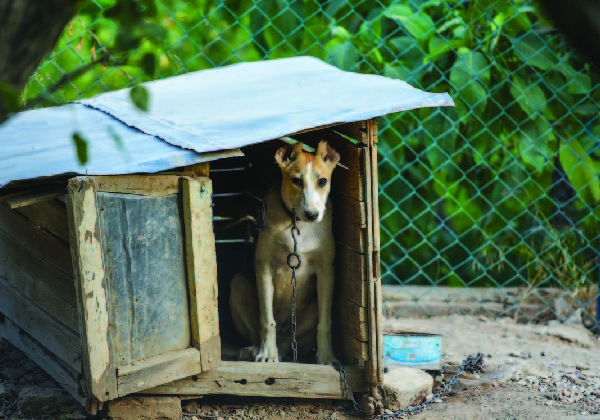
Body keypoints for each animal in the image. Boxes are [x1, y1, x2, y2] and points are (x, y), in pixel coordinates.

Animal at [230, 141, 340, 364]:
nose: (312, 215)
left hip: (310, 309)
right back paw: (255, 349)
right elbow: (267, 320)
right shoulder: (264, 268)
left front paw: (326, 356)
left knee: (289, 343)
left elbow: (325, 323)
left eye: (323, 181)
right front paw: (266, 353)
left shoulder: (326, 271)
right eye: (296, 180)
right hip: (236, 285)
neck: (297, 225)